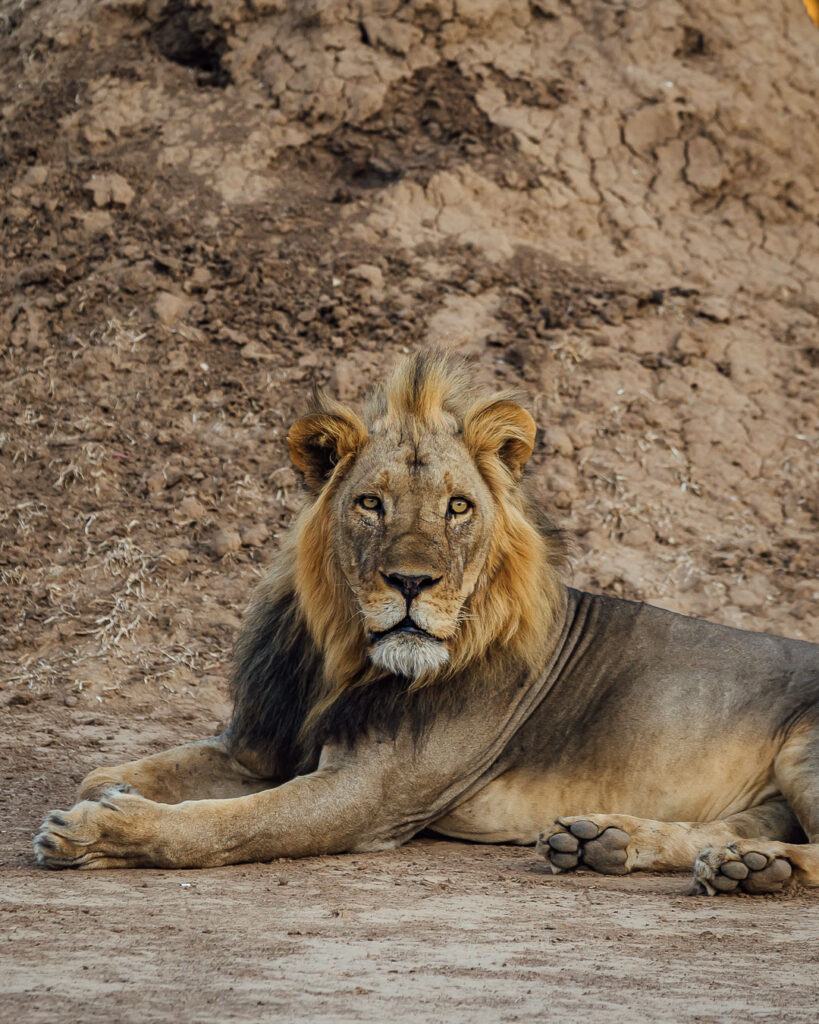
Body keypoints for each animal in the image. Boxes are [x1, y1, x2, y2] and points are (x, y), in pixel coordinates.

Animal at [35, 352, 818, 897]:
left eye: (457, 507)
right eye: (371, 504)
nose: (411, 583)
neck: (344, 657)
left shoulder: (368, 793)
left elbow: (227, 824)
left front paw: (104, 829)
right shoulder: (262, 747)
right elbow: (130, 769)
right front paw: (109, 791)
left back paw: (756, 869)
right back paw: (611, 841)